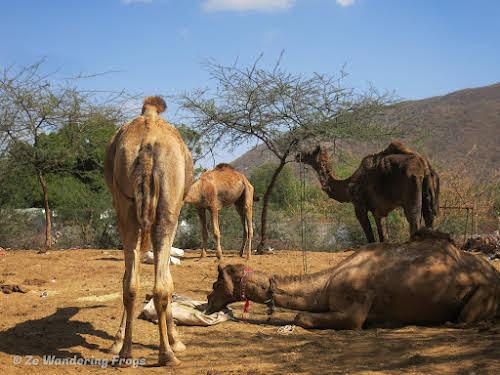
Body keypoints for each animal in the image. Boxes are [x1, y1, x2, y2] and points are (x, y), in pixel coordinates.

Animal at [103, 97, 193, 368]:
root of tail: (148, 143)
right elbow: (169, 282)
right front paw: (176, 340)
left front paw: (117, 341)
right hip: (167, 209)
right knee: (160, 285)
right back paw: (167, 355)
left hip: (127, 210)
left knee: (130, 284)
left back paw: (124, 353)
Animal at [206, 229, 500, 328]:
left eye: (216, 283)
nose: (208, 301)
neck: (324, 286)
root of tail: (494, 273)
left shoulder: (356, 305)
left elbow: (301, 317)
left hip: (484, 293)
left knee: (462, 320)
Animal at [294, 141, 440, 244]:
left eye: (312, 151)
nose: (298, 155)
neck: (347, 186)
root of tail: (425, 167)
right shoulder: (379, 211)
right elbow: (383, 237)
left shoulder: (359, 205)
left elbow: (370, 237)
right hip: (428, 192)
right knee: (429, 218)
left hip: (412, 191)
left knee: (414, 219)